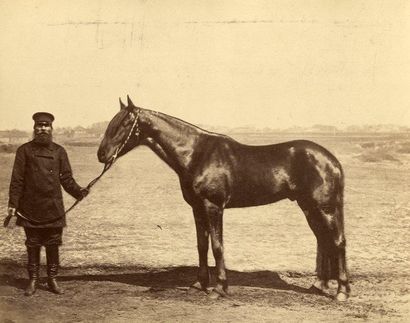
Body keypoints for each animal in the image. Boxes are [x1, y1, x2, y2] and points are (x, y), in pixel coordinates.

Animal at [97, 96, 350, 302]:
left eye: (124, 123)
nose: (102, 154)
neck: (196, 154)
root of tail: (332, 160)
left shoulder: (214, 207)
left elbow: (217, 246)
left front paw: (220, 288)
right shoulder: (197, 208)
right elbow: (201, 245)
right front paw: (199, 284)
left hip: (324, 207)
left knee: (337, 241)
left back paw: (342, 292)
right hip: (308, 207)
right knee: (324, 241)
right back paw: (319, 285)